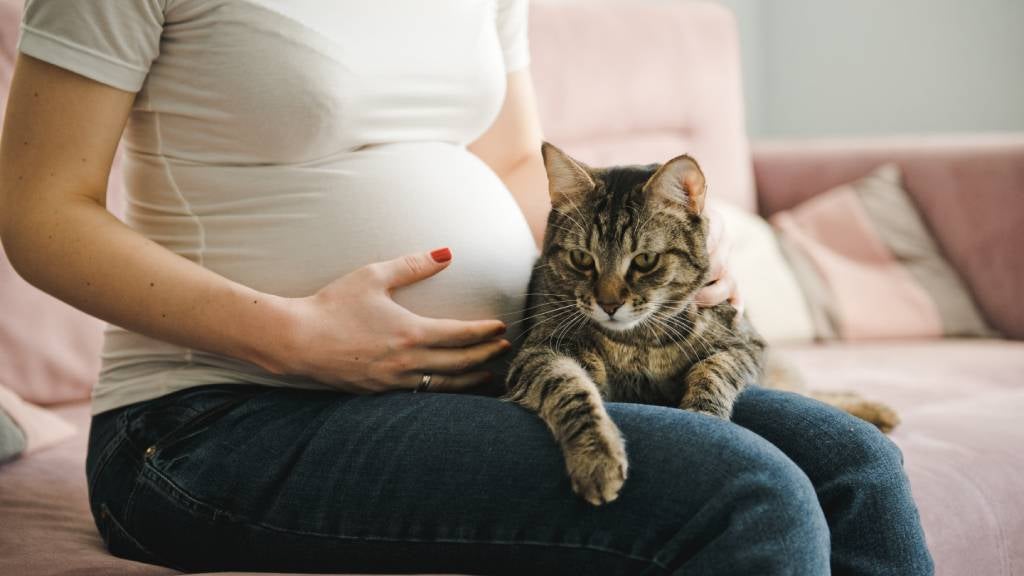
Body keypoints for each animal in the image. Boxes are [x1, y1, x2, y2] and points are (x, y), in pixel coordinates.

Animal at [503, 142, 897, 502]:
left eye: (645, 260)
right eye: (581, 259)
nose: (609, 304)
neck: (640, 340)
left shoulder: (746, 347)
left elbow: (712, 372)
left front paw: (704, 416)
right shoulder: (541, 353)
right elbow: (573, 390)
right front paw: (596, 457)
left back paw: (875, 409)